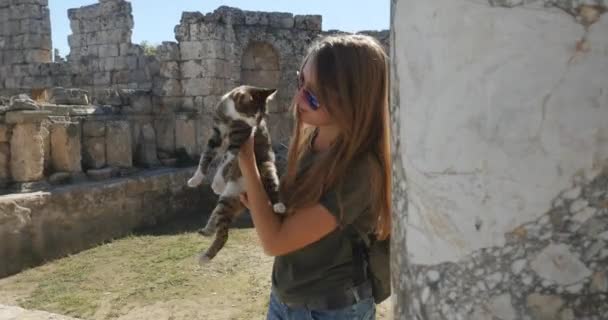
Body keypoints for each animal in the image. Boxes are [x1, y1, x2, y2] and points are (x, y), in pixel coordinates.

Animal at [186, 85, 286, 264]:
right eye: (253, 114)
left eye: (263, 116)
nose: (257, 124)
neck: (230, 116)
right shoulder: (216, 135)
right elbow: (205, 157)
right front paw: (196, 179)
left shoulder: (239, 140)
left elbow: (225, 162)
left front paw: (217, 182)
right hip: (227, 200)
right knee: (219, 220)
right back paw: (206, 232)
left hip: (266, 167)